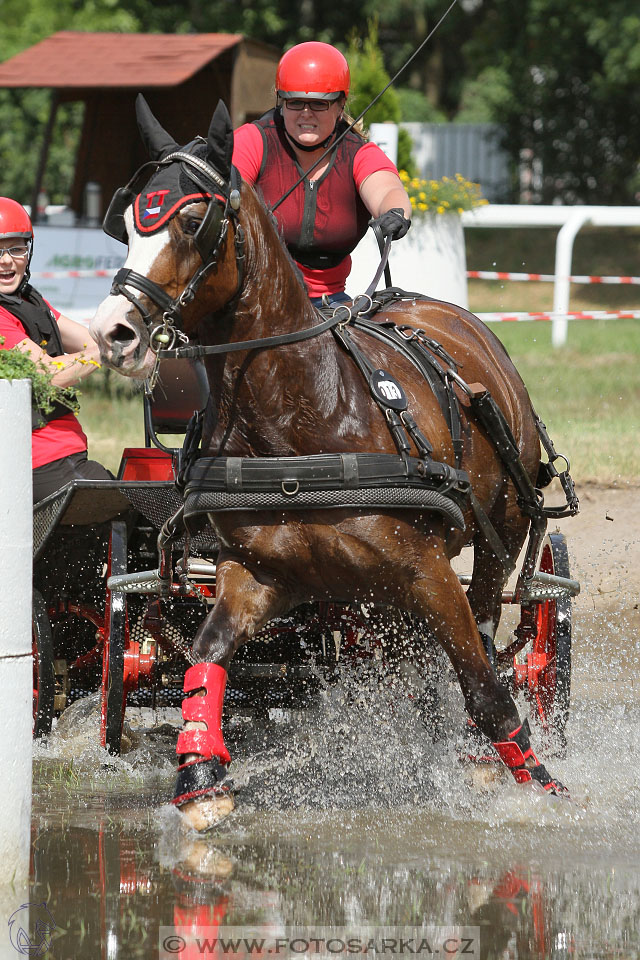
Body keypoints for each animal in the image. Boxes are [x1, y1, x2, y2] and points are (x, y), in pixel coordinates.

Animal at [90, 99, 568, 832]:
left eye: (193, 221)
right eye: (129, 221)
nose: (113, 330)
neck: (300, 418)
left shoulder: (426, 572)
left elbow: (484, 685)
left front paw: (542, 784)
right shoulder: (259, 574)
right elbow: (207, 653)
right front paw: (200, 775)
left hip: (502, 532)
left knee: (490, 630)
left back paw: (488, 753)